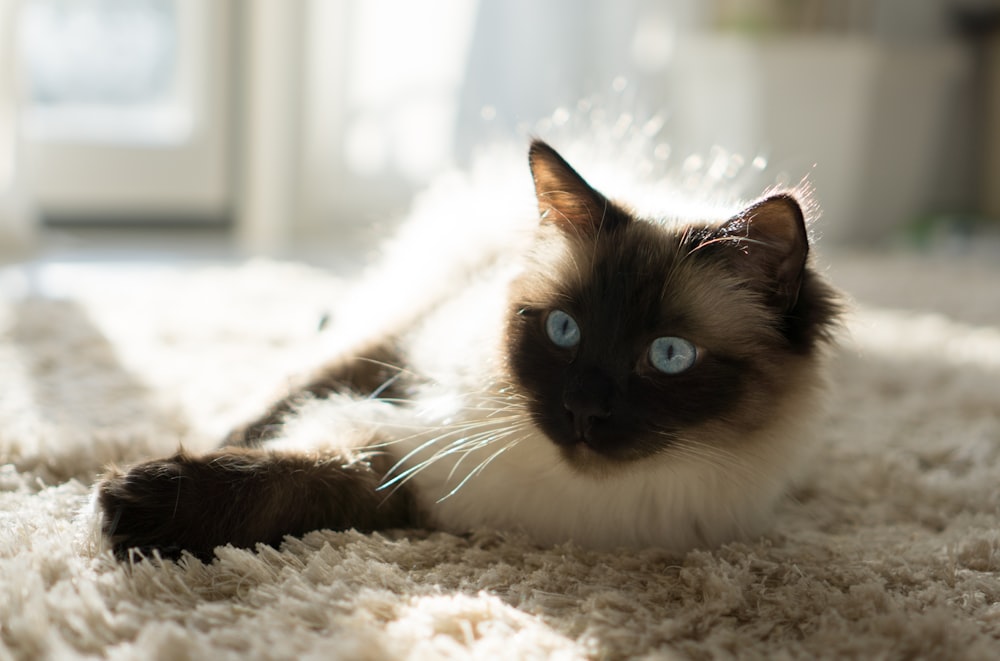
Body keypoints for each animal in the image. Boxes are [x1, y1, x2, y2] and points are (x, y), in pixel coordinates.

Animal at [97, 141, 840, 564]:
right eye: (564, 330)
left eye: (669, 355)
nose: (581, 410)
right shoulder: (399, 377)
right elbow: (275, 424)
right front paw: (152, 482)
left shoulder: (406, 473)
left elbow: (297, 480)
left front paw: (137, 509)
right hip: (402, 307)